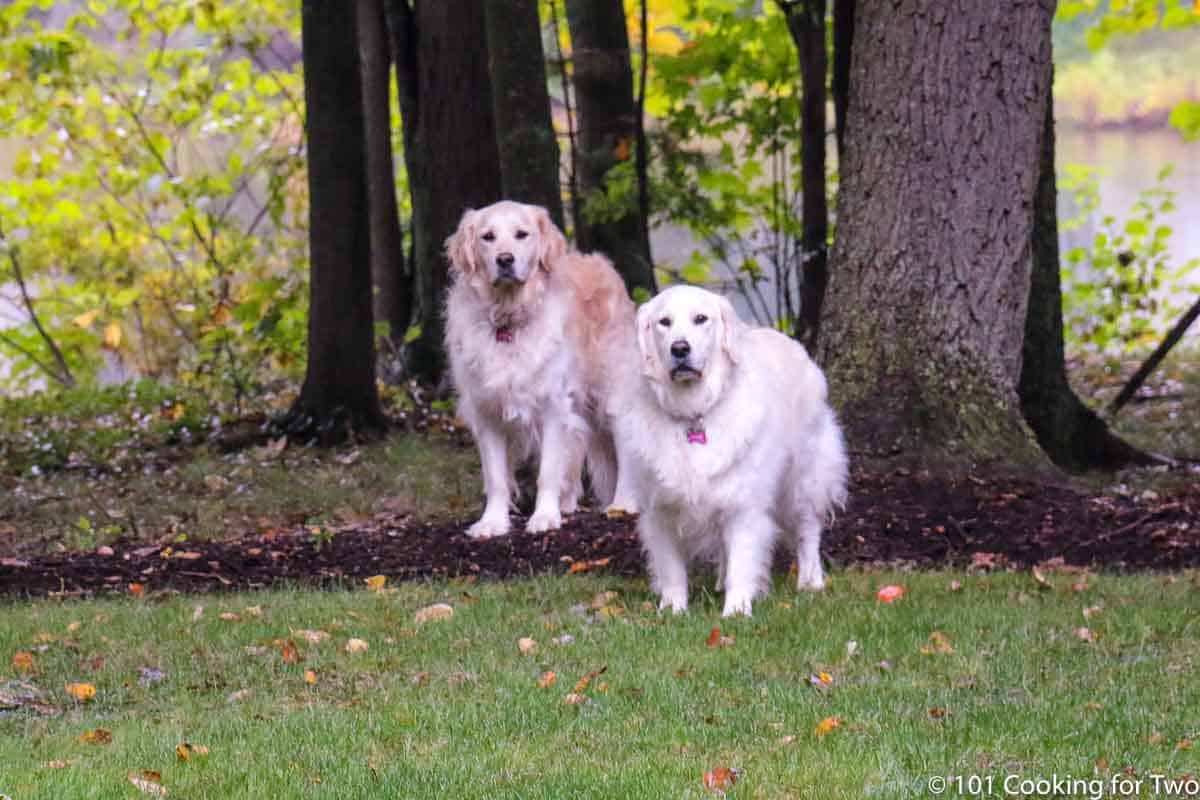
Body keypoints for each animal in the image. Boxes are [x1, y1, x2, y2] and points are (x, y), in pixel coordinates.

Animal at [446, 200, 638, 537]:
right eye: (488, 237)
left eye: (522, 234)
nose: (505, 260)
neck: (508, 319)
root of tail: (603, 264)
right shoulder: (486, 411)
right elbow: (496, 477)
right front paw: (492, 522)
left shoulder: (552, 405)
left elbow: (548, 469)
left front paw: (545, 516)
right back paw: (568, 502)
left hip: (612, 392)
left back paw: (622, 502)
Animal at [624, 287, 849, 618]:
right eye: (664, 322)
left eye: (700, 319)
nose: (680, 348)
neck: (694, 414)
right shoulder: (659, 508)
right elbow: (671, 568)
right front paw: (673, 609)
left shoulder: (744, 503)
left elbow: (743, 561)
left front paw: (737, 611)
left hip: (804, 477)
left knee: (808, 529)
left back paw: (811, 581)